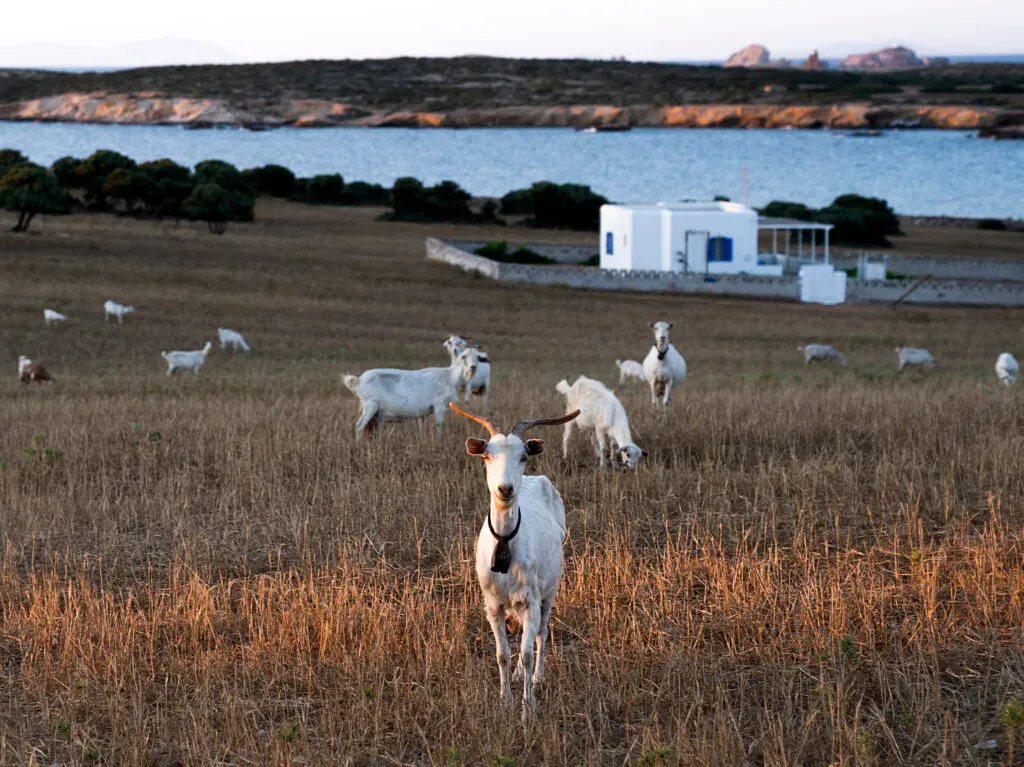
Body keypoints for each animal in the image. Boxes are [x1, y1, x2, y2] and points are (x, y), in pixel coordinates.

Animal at [343, 348, 476, 440]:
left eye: (478, 357)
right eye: (464, 356)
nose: (472, 367)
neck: (449, 377)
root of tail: (359, 380)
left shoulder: (422, 414)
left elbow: (422, 428)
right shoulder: (439, 405)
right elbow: (439, 426)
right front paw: (438, 442)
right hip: (371, 404)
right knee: (360, 426)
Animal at [449, 402, 580, 723]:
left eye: (523, 456)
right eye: (487, 455)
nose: (505, 489)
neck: (506, 544)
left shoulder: (530, 599)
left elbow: (528, 651)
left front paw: (527, 709)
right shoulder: (492, 605)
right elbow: (502, 654)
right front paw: (504, 700)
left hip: (549, 591)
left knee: (541, 632)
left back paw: (537, 677)